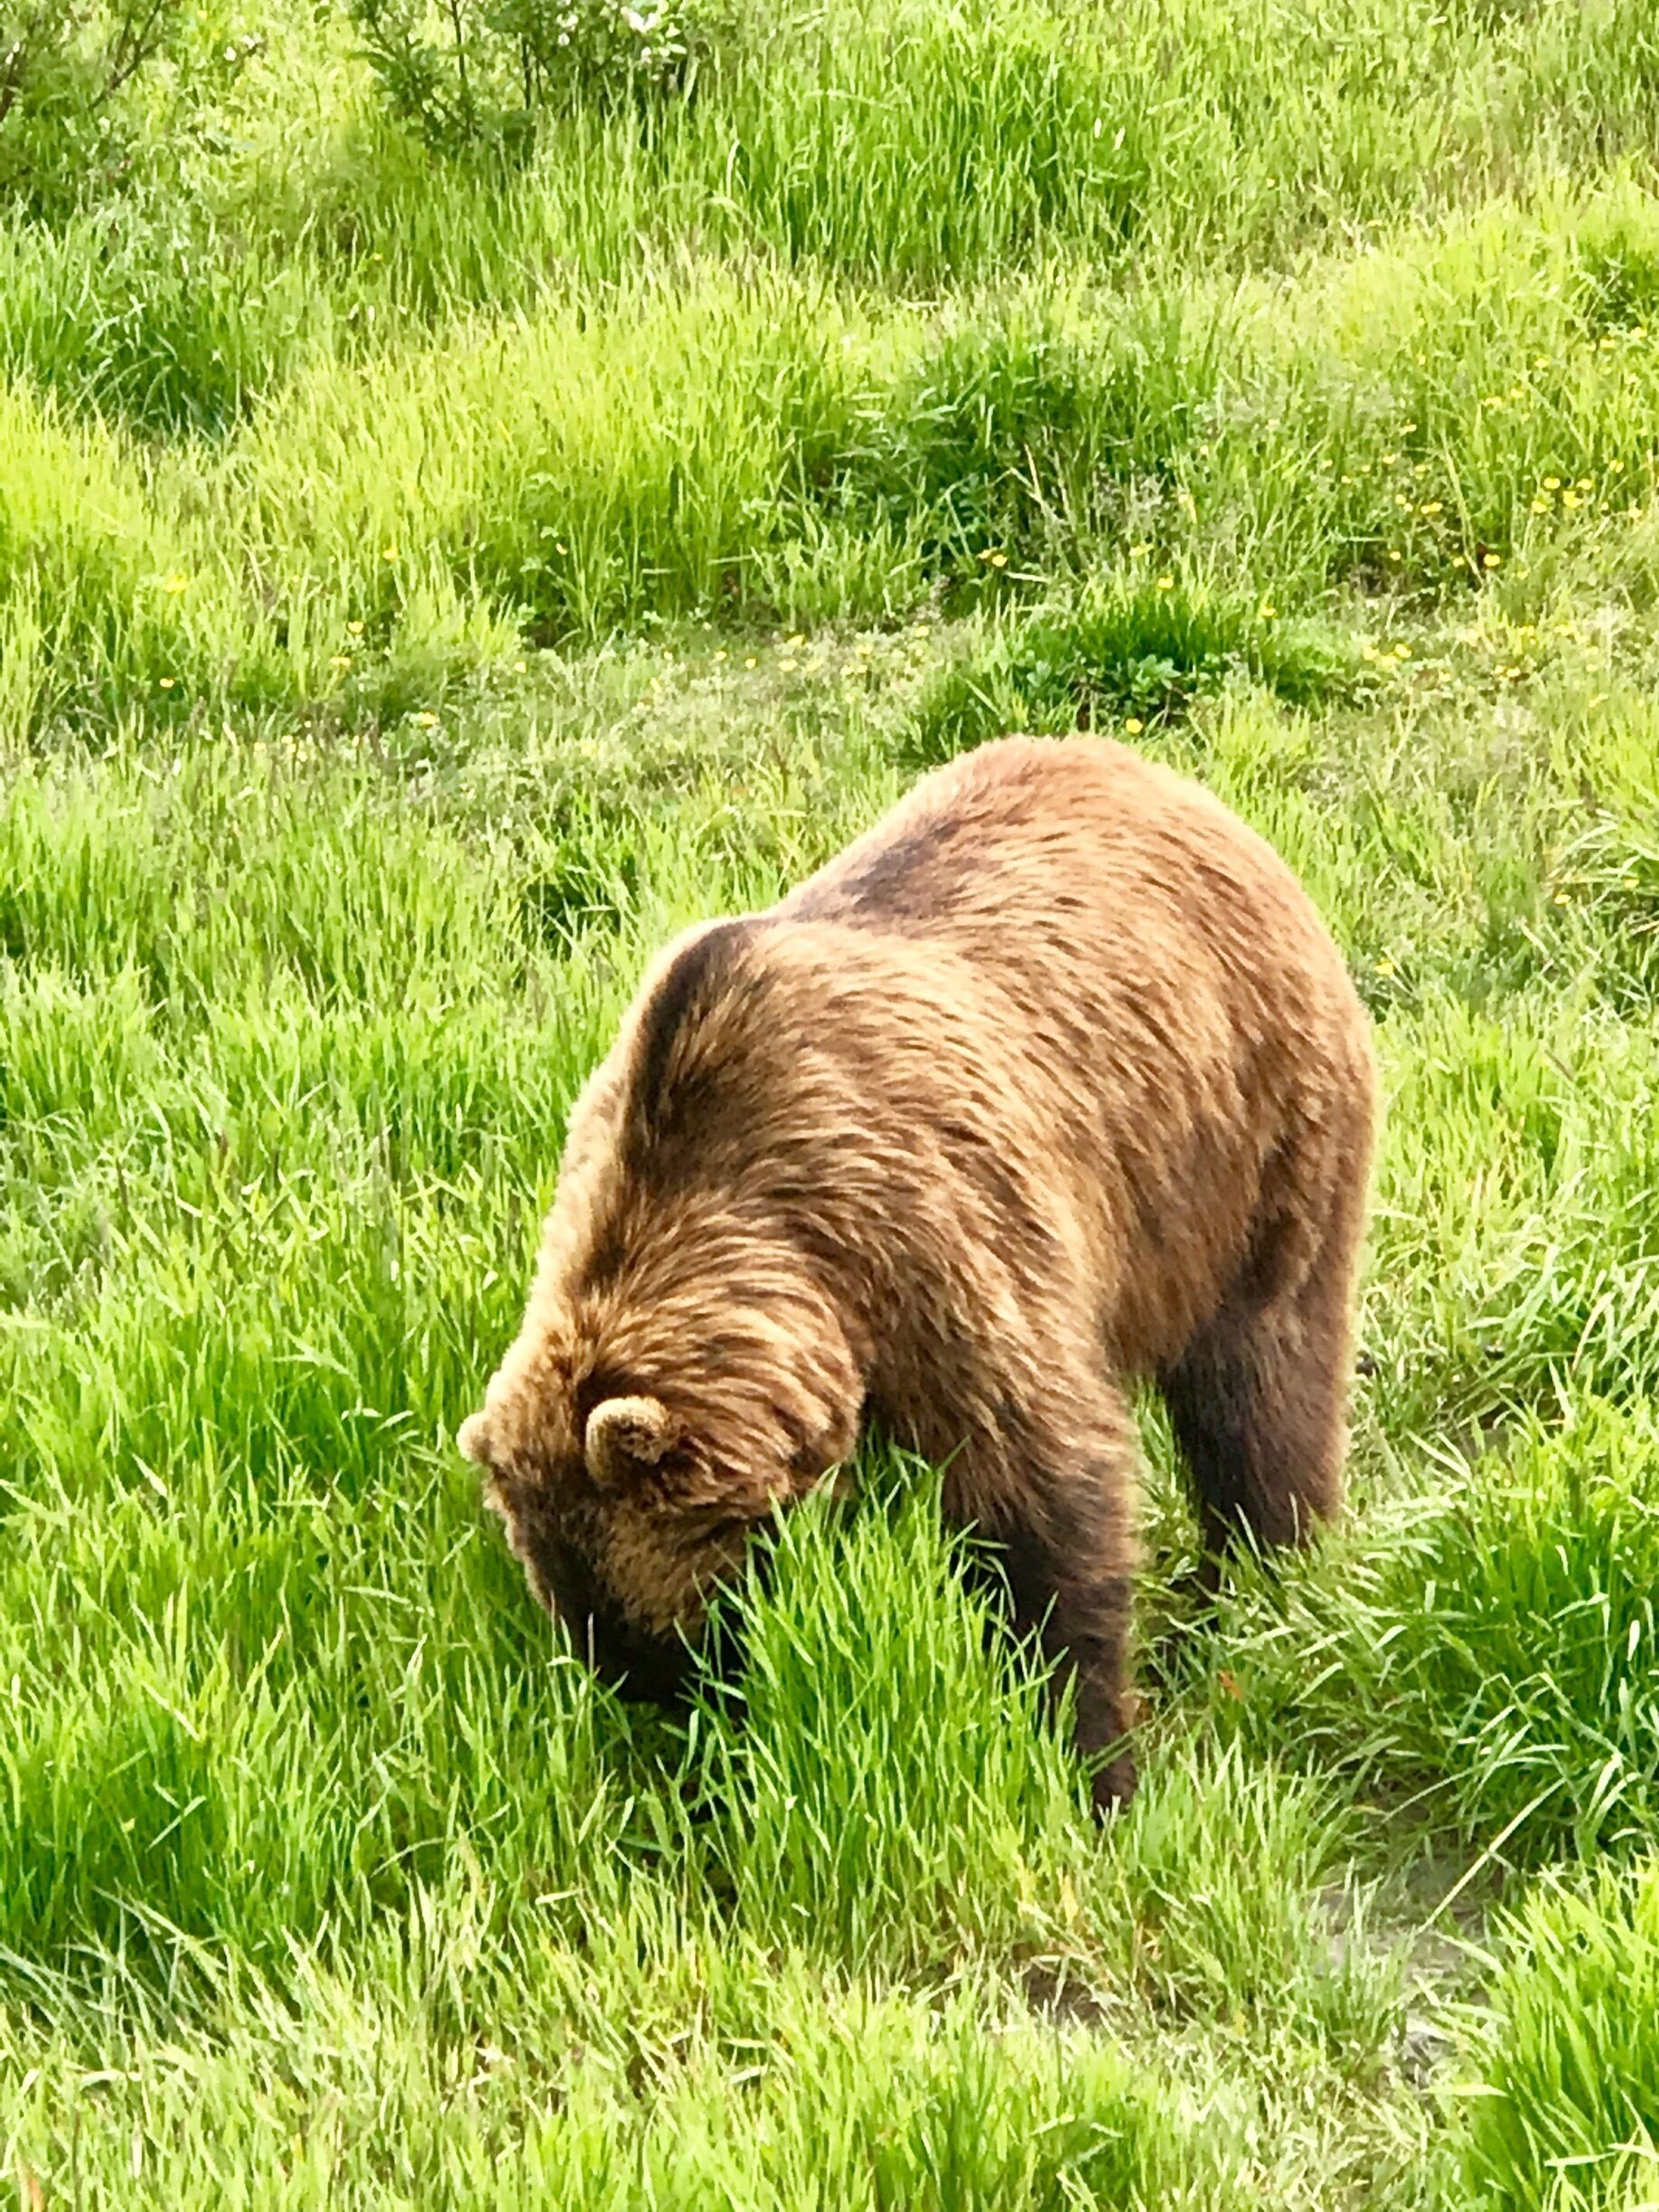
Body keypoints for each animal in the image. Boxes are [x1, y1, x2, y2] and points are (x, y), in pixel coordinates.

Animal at [458, 734, 1377, 1815]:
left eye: (694, 1627)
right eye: (616, 1646)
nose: (684, 1714)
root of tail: (1170, 784)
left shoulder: (932, 1246)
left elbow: (1045, 1496)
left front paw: (1090, 1760)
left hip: (1243, 1137)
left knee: (1263, 1376)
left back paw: (1267, 1569)